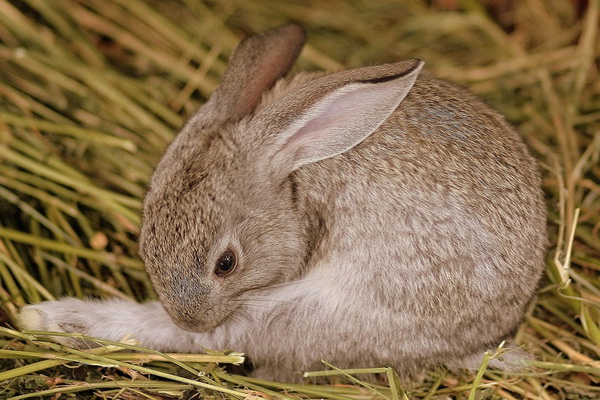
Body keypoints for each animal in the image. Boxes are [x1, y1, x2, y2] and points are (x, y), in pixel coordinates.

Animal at [18, 24, 548, 382]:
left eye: (226, 264)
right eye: (145, 239)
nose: (189, 314)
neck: (295, 180)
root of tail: (481, 339)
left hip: (311, 314)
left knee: (222, 340)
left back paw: (53, 318)